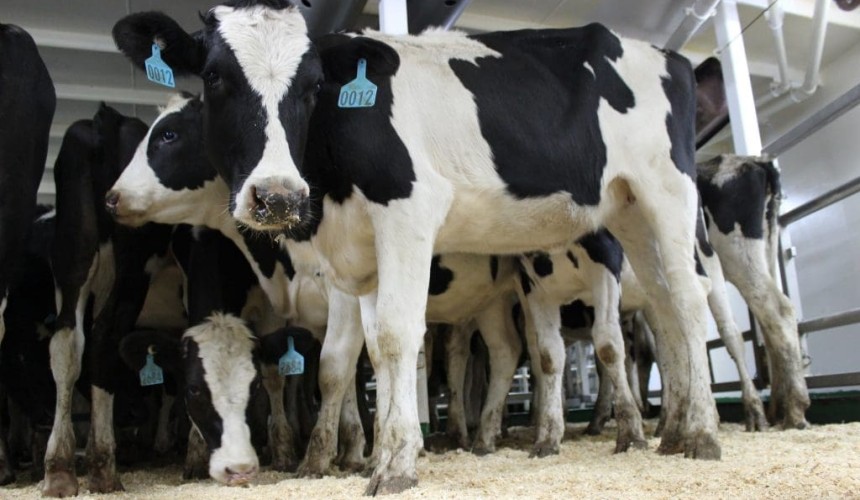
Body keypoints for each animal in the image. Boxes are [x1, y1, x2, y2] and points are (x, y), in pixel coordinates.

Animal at [114, 4, 720, 492]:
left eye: (313, 84)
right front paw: (377, 452)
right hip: (629, 213)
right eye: (215, 76)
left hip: (667, 193)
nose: (278, 197)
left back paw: (703, 435)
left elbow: (395, 337)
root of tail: (669, 55)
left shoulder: (407, 215)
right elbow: (372, 355)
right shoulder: (359, 257)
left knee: (689, 305)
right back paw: (671, 432)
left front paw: (396, 466)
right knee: (662, 310)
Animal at [697, 154, 809, 429]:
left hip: (737, 253)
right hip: (764, 253)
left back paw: (794, 408)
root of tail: (757, 161)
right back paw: (778, 407)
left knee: (778, 311)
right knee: (769, 320)